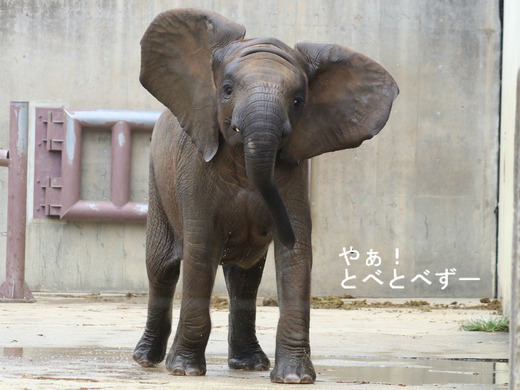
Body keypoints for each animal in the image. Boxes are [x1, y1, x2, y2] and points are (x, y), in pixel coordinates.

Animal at [133, 6, 398, 384]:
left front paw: (294, 378)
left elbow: (297, 255)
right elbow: (200, 249)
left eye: (297, 101)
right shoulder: (194, 171)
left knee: (244, 278)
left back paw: (249, 364)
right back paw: (146, 359)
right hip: (157, 176)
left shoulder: (294, 171)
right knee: (161, 266)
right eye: (227, 89)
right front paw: (184, 370)